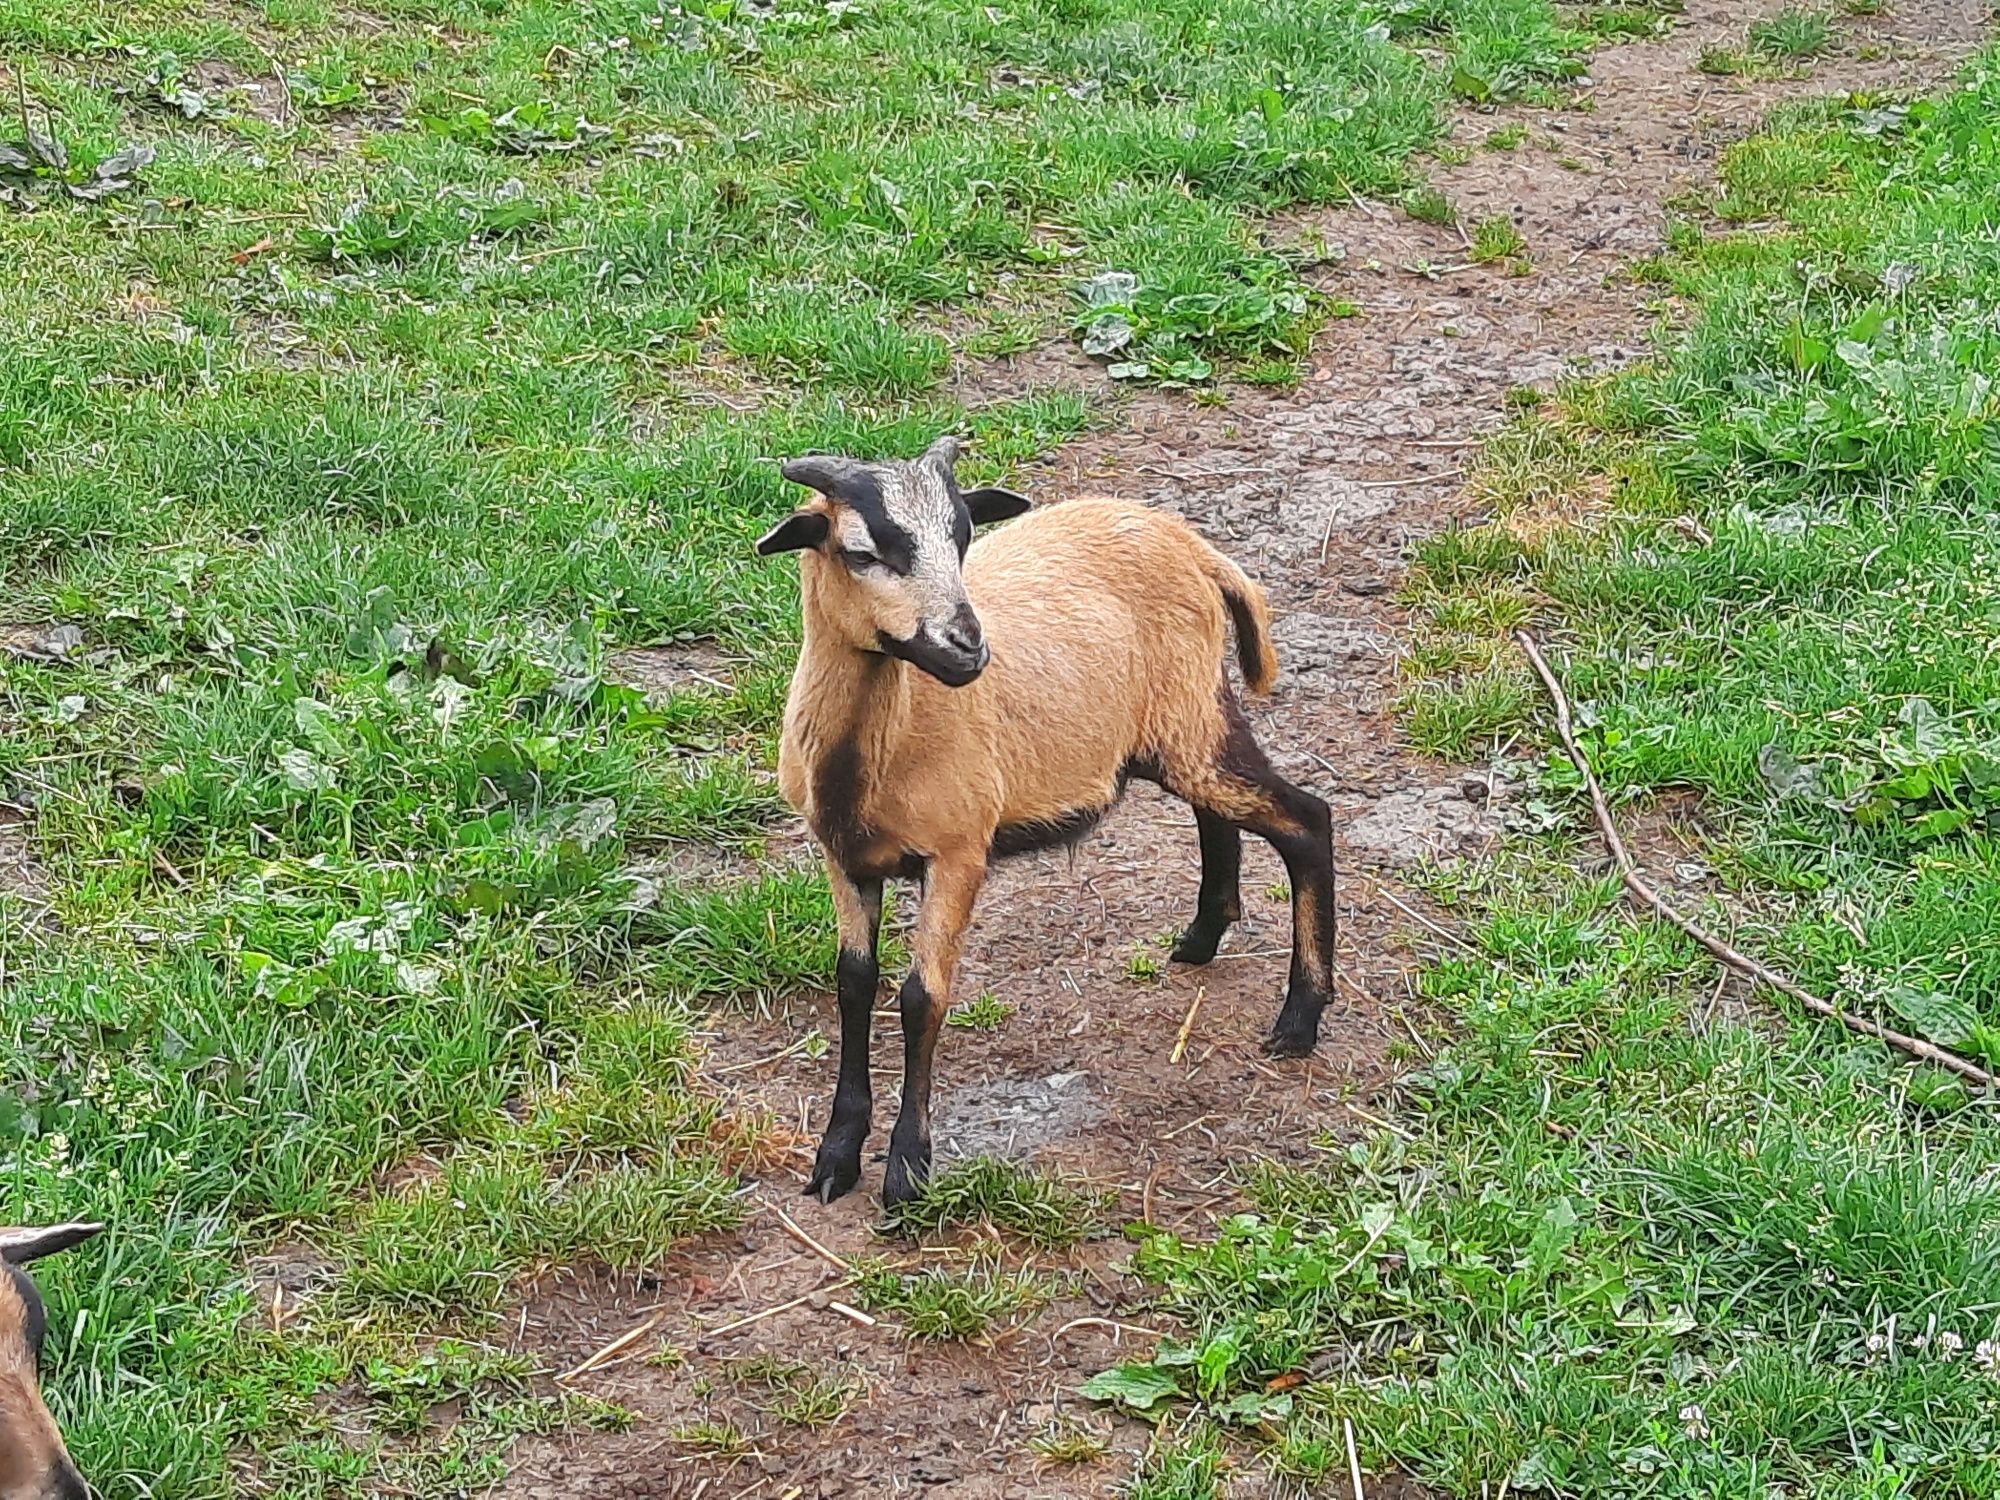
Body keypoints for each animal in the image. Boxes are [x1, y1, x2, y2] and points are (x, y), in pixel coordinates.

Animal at [756, 434, 1336, 1208]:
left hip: (1191, 719)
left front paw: (907, 1171)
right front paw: (836, 1156)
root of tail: (1194, 546)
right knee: (1218, 819)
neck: (876, 749)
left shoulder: (960, 851)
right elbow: (854, 986)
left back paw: (1299, 1019)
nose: (967, 645)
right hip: (1179, 729)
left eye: (963, 538)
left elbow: (920, 998)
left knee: (1307, 820)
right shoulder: (841, 856)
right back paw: (1201, 939)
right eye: (861, 552)